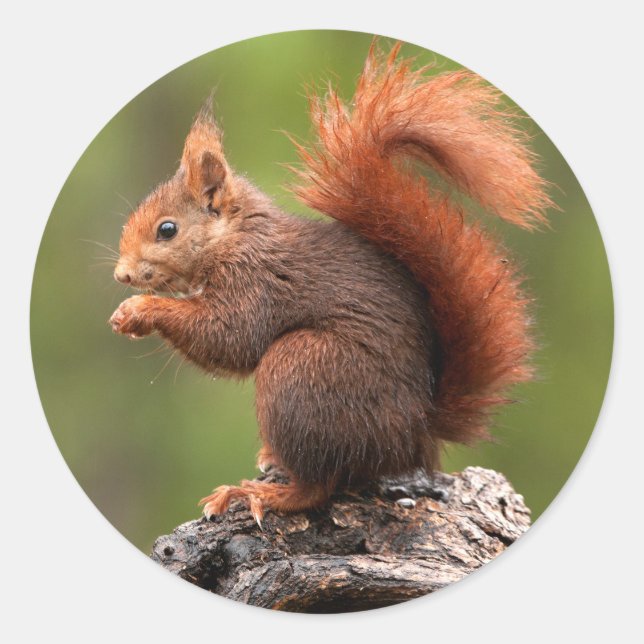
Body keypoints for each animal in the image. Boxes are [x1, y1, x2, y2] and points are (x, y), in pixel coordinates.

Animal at [109, 43, 551, 524]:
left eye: (167, 230)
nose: (122, 275)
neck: (235, 236)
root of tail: (417, 431)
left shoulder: (256, 280)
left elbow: (231, 337)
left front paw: (140, 310)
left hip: (303, 369)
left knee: (319, 485)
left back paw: (261, 494)